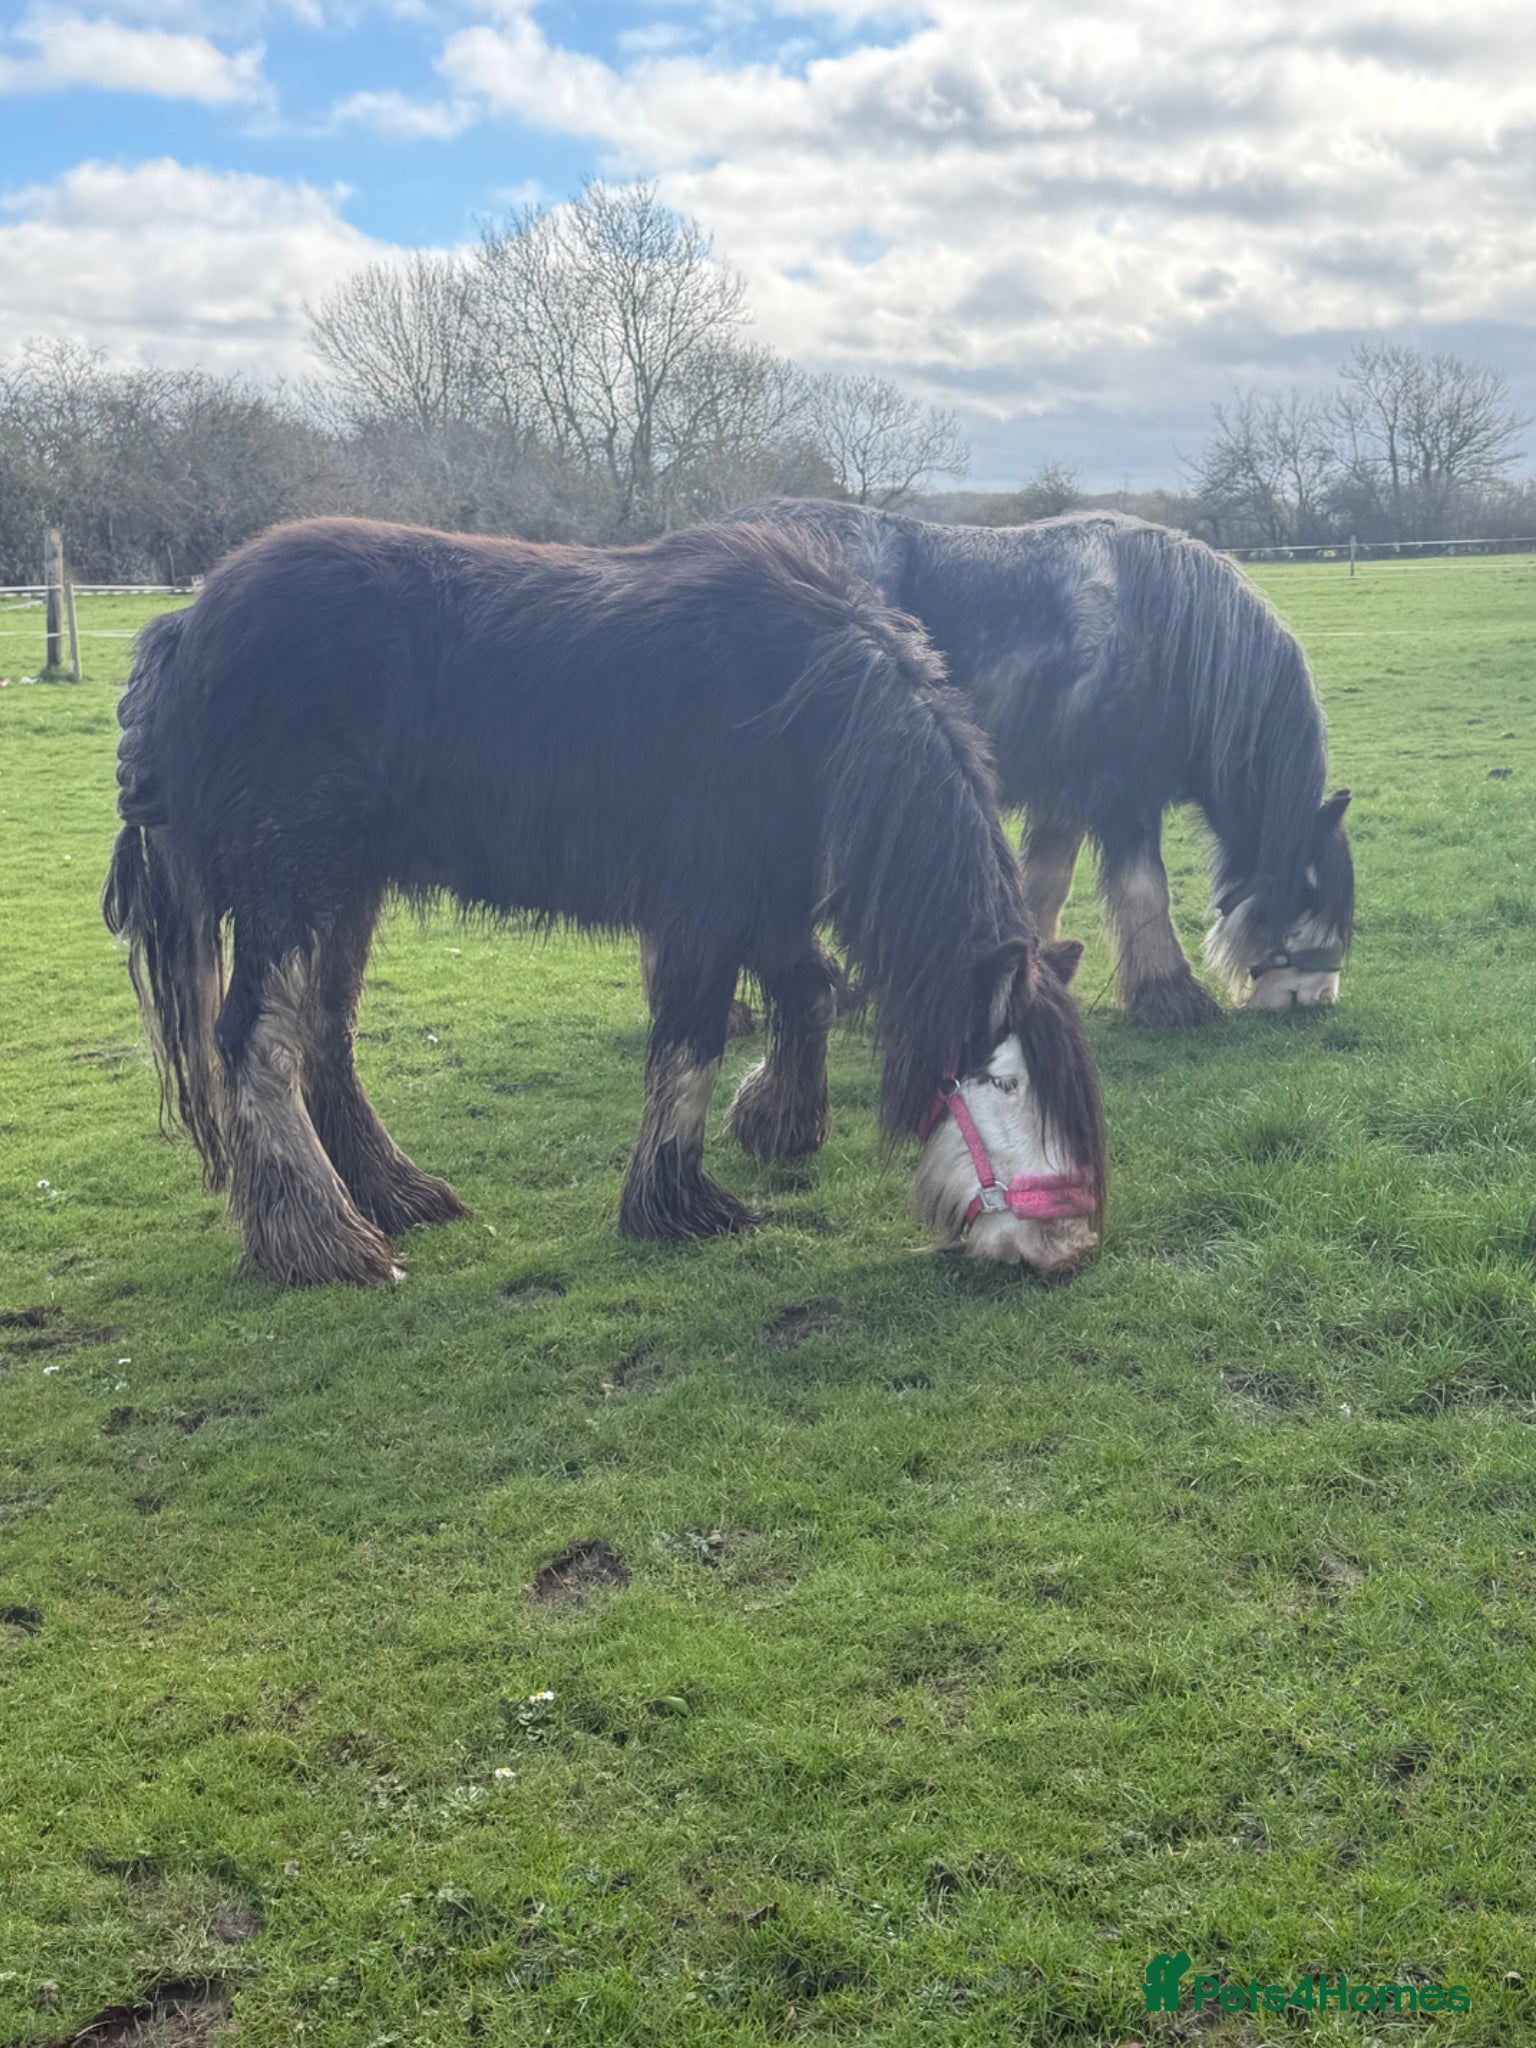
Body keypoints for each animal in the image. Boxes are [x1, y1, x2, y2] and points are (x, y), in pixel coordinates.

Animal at [104, 515, 1107, 1286]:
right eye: (1006, 1081)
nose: (1061, 1248)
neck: (807, 706)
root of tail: (186, 620)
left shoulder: (768, 898)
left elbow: (809, 994)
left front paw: (778, 1126)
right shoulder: (708, 906)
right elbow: (690, 1045)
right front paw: (677, 1203)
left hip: (349, 888)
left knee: (326, 1034)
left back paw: (396, 1195)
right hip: (291, 890)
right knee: (257, 1042)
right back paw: (322, 1243)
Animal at [724, 501, 1354, 1029]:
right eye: (1307, 897)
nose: (1317, 999)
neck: (1169, 640)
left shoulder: (1064, 801)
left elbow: (1044, 887)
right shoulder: (1123, 799)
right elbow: (1145, 891)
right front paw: (1172, 995)